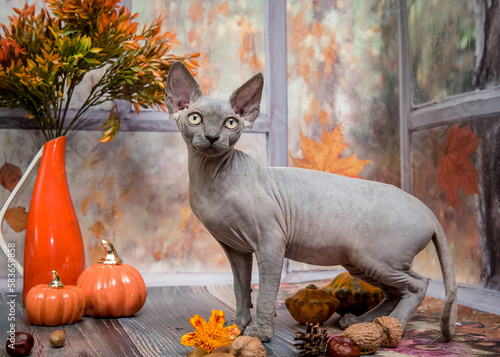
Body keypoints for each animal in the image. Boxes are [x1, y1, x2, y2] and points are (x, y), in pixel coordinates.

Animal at [165, 61, 458, 342]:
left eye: (230, 123)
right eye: (195, 118)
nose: (213, 137)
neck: (212, 178)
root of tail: (427, 209)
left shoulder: (271, 243)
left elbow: (266, 292)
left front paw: (260, 332)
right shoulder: (235, 248)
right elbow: (241, 289)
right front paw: (238, 325)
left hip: (376, 258)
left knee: (418, 284)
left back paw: (394, 328)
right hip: (360, 261)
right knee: (397, 291)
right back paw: (363, 322)